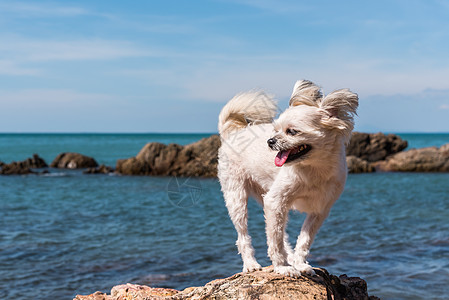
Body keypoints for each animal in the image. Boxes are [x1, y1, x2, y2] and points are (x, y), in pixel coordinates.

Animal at [216, 79, 356, 276]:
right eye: (275, 130)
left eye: (292, 131)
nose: (270, 141)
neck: (313, 167)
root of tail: (232, 133)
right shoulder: (275, 201)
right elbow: (274, 241)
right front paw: (282, 267)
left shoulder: (319, 211)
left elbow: (304, 240)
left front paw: (300, 263)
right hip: (237, 198)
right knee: (244, 236)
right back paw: (250, 263)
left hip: (267, 198)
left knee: (282, 235)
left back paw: (289, 257)